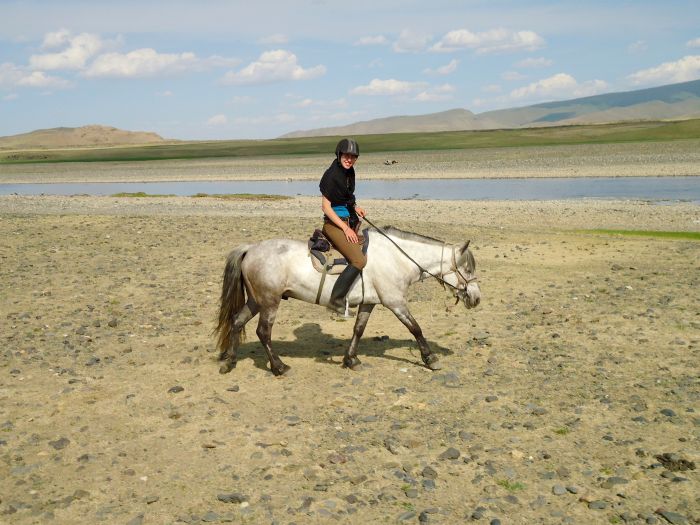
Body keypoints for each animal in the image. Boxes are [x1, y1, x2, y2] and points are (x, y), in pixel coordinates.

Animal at [213, 225, 478, 376]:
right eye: (467, 268)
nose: (476, 298)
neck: (397, 258)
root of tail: (251, 248)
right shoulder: (395, 302)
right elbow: (415, 328)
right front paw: (431, 359)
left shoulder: (369, 303)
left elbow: (358, 330)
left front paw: (351, 360)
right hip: (269, 301)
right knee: (263, 332)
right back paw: (279, 367)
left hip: (256, 300)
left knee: (236, 322)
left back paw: (229, 361)